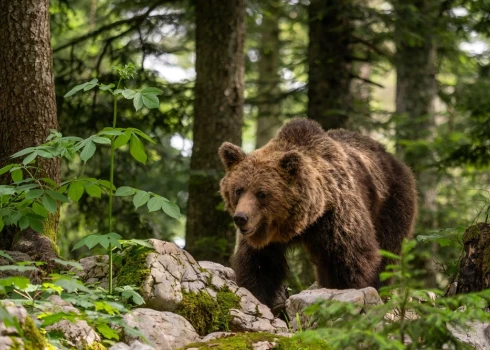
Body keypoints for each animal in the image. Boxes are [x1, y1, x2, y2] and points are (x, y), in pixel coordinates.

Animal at [218, 118, 418, 308]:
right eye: (239, 190)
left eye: (261, 193)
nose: (241, 218)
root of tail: (392, 157)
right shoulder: (266, 238)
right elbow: (259, 265)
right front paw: (257, 296)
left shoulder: (336, 217)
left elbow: (352, 260)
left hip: (392, 202)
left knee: (388, 251)